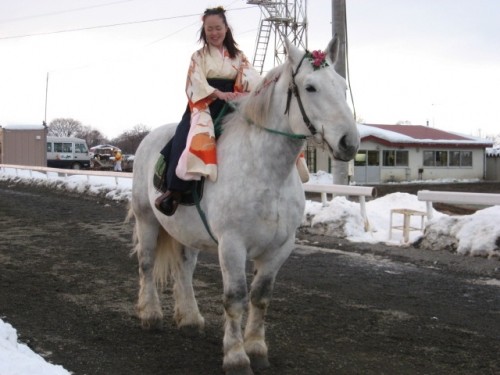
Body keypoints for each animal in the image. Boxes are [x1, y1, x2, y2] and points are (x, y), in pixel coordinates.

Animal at [131, 39, 358, 375]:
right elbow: (235, 298)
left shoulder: (280, 247)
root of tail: (149, 137)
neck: (266, 170)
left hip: (185, 232)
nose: (349, 142)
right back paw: (150, 315)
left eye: (342, 86)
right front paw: (236, 357)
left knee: (184, 268)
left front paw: (257, 349)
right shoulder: (232, 245)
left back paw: (190, 319)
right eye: (310, 87)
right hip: (147, 219)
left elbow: (261, 297)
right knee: (146, 264)